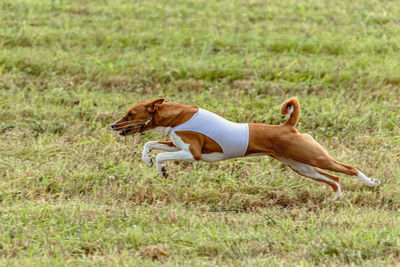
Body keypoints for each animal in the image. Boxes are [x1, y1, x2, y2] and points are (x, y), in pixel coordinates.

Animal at [111, 97, 380, 196]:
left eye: (130, 113)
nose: (113, 125)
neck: (178, 117)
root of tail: (288, 126)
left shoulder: (192, 153)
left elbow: (161, 157)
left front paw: (162, 170)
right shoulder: (174, 142)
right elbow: (151, 144)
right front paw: (146, 159)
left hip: (313, 158)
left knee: (348, 168)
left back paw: (371, 183)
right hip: (302, 166)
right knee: (334, 179)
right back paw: (336, 199)